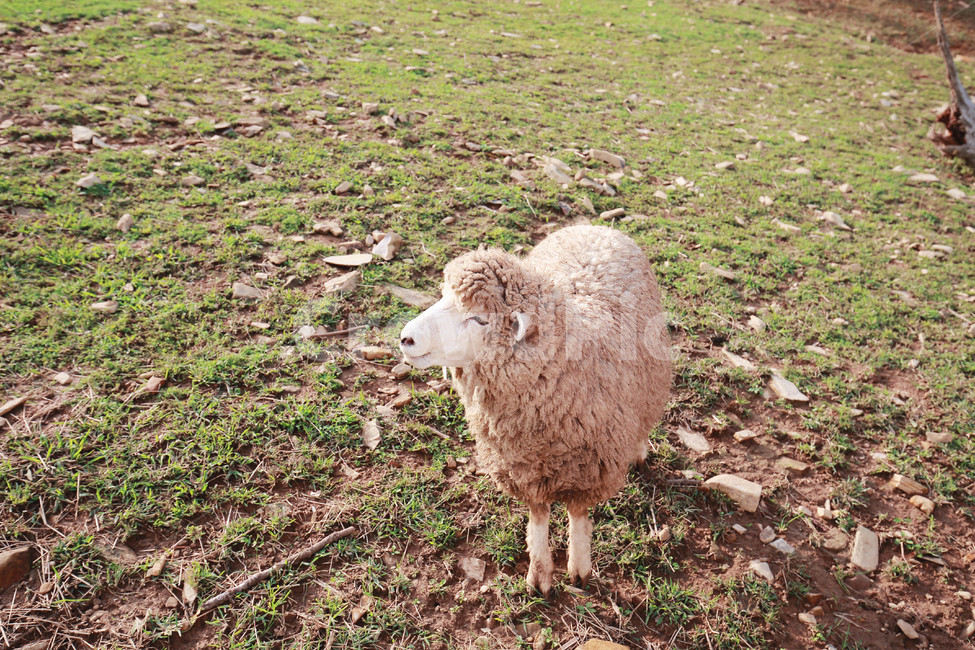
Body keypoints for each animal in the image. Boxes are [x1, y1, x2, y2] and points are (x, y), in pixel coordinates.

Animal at [398, 224, 671, 596]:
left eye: (479, 319)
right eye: (442, 297)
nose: (406, 338)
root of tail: (594, 226)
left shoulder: (590, 467)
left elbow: (578, 516)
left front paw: (579, 570)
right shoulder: (524, 468)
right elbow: (539, 517)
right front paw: (539, 576)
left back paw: (640, 451)